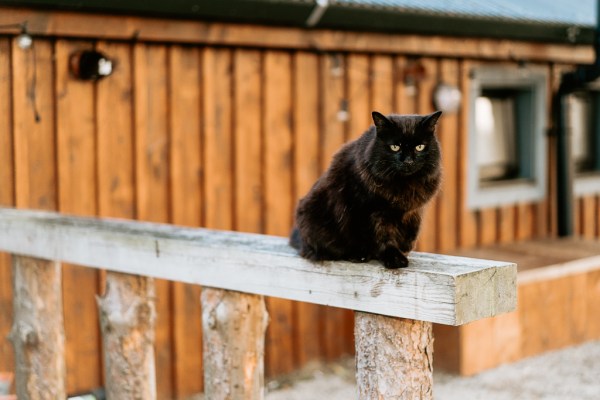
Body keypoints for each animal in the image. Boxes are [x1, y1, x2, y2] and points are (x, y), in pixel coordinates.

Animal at [288, 110, 442, 268]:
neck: (404, 185)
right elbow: (382, 237)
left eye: (419, 147)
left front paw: (404, 250)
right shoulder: (370, 211)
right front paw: (393, 257)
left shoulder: (413, 212)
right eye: (395, 147)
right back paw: (357, 255)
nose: (408, 161)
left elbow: (411, 232)